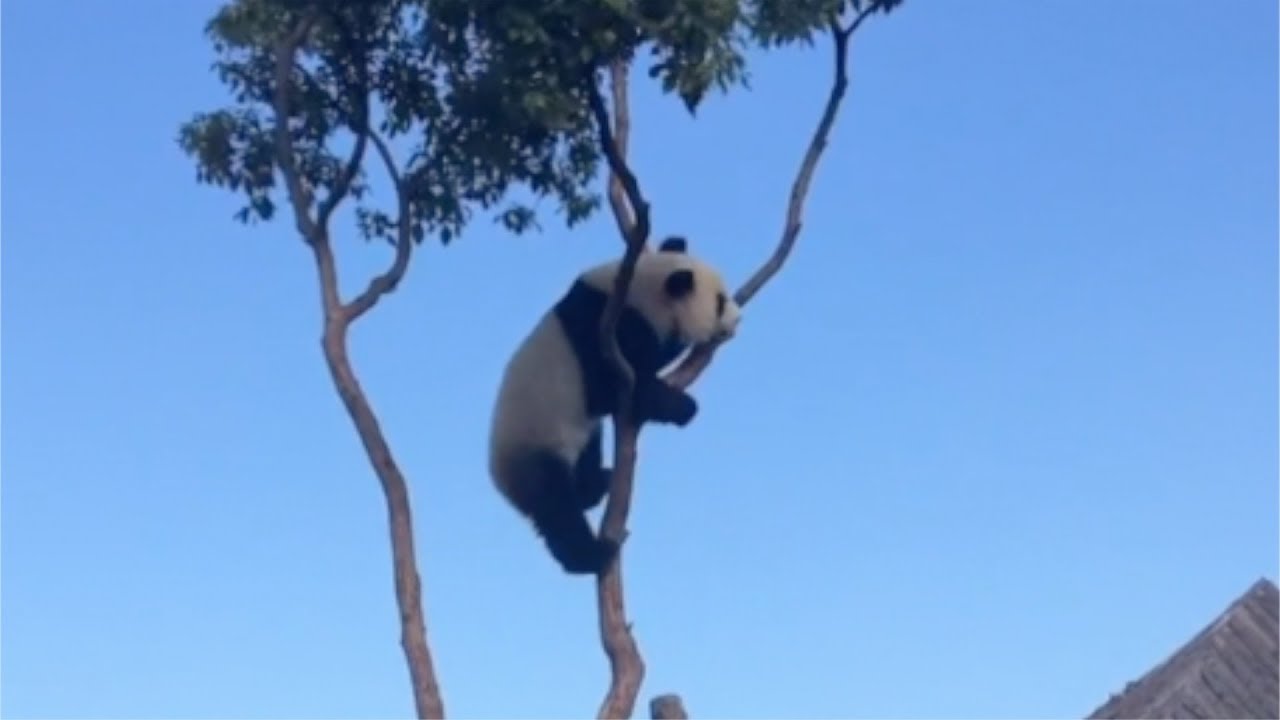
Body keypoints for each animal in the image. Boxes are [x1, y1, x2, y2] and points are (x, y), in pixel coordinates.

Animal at [488, 236, 742, 575]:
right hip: (537, 447)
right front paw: (680, 406)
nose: (738, 319)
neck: (636, 287)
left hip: (577, 437)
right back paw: (591, 554)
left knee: (584, 466)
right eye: (719, 302)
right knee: (557, 510)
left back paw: (599, 481)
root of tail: (502, 481)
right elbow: (619, 389)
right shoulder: (604, 333)